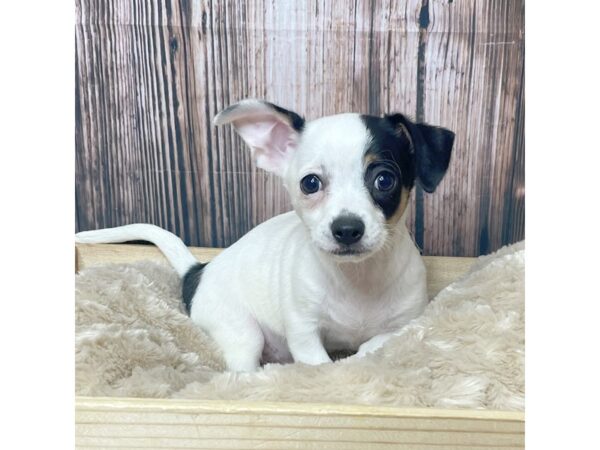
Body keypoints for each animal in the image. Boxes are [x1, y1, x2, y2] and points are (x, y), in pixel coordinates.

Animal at [76, 100, 454, 370]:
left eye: (384, 180)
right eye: (310, 183)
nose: (346, 228)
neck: (356, 278)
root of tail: (198, 271)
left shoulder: (402, 326)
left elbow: (372, 347)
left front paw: (359, 356)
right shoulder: (304, 332)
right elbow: (321, 365)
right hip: (241, 332)